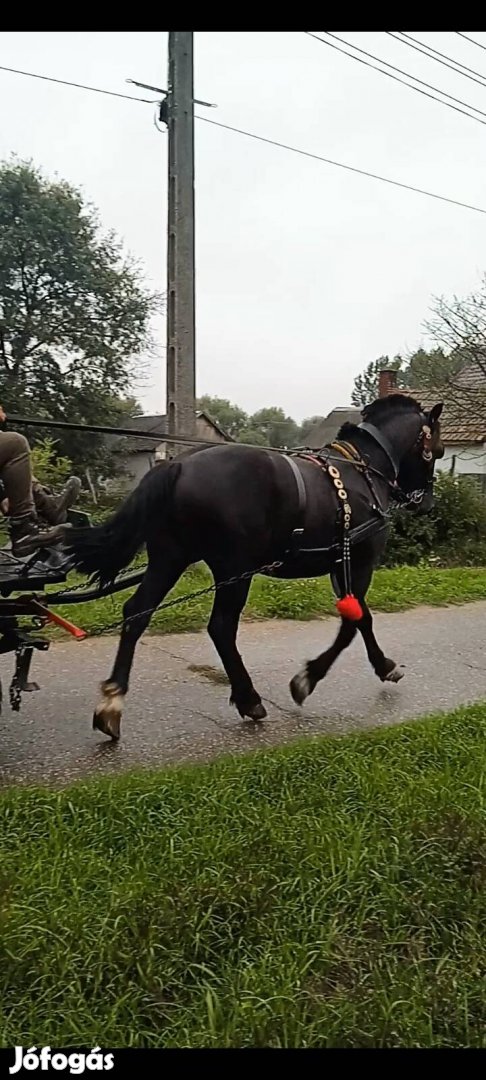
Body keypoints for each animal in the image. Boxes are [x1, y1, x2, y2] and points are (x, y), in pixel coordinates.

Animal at [66, 393, 442, 738]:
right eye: (436, 450)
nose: (427, 503)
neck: (362, 471)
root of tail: (178, 465)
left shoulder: (341, 563)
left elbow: (360, 618)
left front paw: (383, 665)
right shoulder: (360, 559)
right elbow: (355, 620)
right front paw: (307, 679)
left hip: (170, 558)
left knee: (137, 613)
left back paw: (112, 701)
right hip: (232, 569)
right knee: (220, 627)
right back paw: (248, 698)